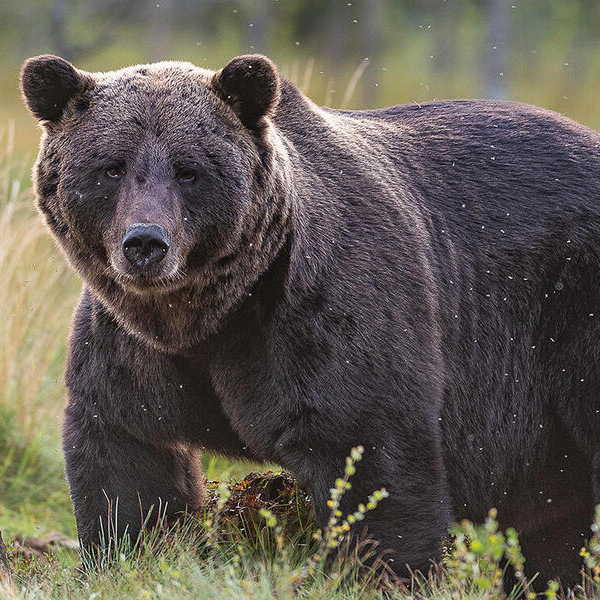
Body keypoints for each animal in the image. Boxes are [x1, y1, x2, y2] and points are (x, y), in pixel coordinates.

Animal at [21, 52, 600, 584]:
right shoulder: (132, 347)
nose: (145, 243)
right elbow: (129, 464)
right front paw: (128, 558)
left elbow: (374, 461)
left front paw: (384, 573)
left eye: (190, 170)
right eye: (111, 167)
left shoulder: (322, 318)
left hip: (568, 311)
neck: (211, 315)